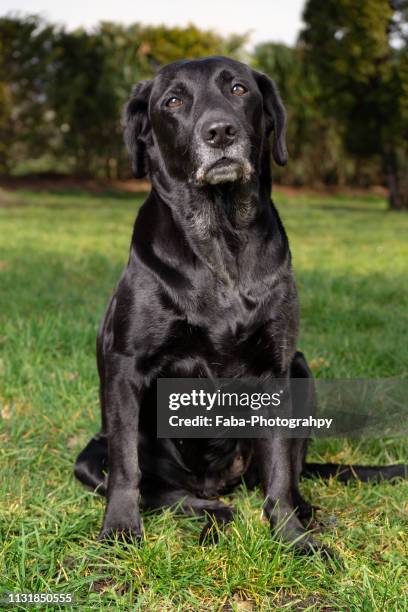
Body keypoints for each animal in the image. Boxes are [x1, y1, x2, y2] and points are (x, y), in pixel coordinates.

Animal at [75, 57, 406, 556]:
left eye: (238, 89)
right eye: (173, 100)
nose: (219, 132)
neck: (220, 238)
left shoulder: (275, 369)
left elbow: (280, 474)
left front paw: (293, 540)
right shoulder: (125, 366)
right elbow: (127, 467)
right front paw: (118, 532)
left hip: (302, 369)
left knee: (285, 477)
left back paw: (304, 513)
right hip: (91, 457)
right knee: (177, 495)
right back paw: (215, 517)